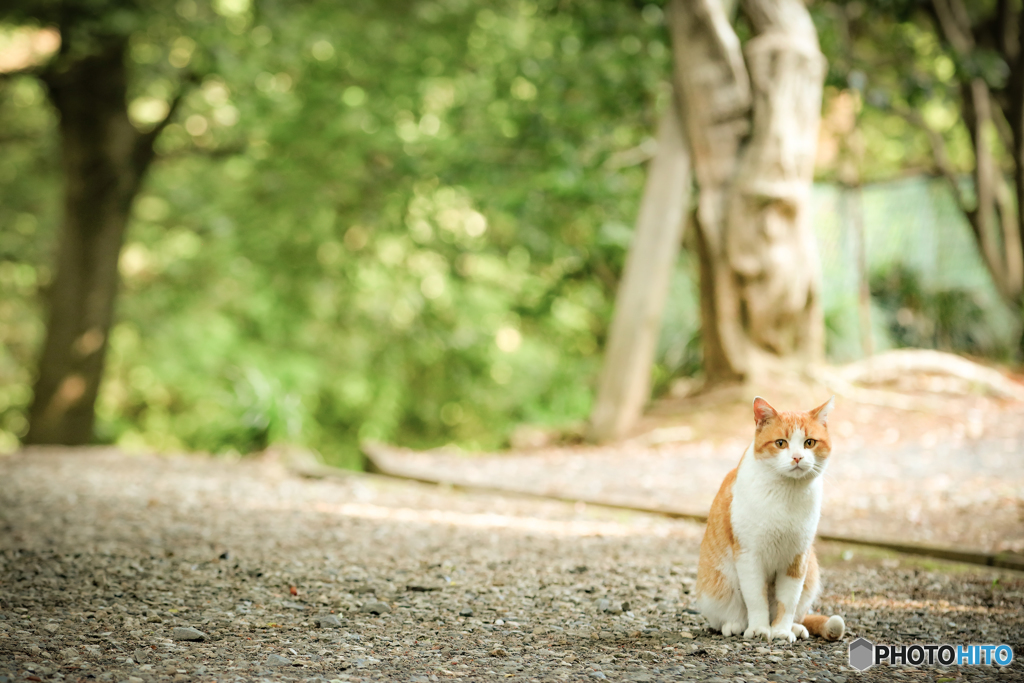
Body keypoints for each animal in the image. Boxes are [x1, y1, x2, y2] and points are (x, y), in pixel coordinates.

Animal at [696, 397, 847, 643]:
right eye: (780, 443)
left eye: (809, 443)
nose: (797, 457)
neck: (787, 493)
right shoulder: (749, 555)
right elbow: (756, 598)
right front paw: (759, 629)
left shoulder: (797, 558)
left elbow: (788, 601)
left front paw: (782, 631)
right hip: (715, 588)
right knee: (727, 616)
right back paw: (735, 625)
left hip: (811, 574)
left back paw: (796, 627)